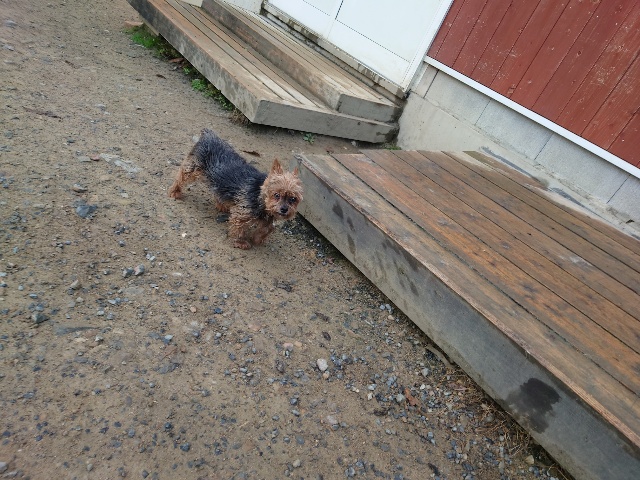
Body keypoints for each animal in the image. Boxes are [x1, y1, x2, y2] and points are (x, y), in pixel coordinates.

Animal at [168, 129, 303, 249]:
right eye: (276, 195)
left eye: (293, 199)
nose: (284, 209)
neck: (259, 195)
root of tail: (209, 135)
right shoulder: (242, 213)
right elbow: (240, 228)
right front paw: (241, 242)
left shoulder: (268, 218)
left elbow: (268, 229)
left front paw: (257, 239)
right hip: (193, 167)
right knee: (181, 176)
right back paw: (175, 191)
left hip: (218, 181)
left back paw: (221, 205)